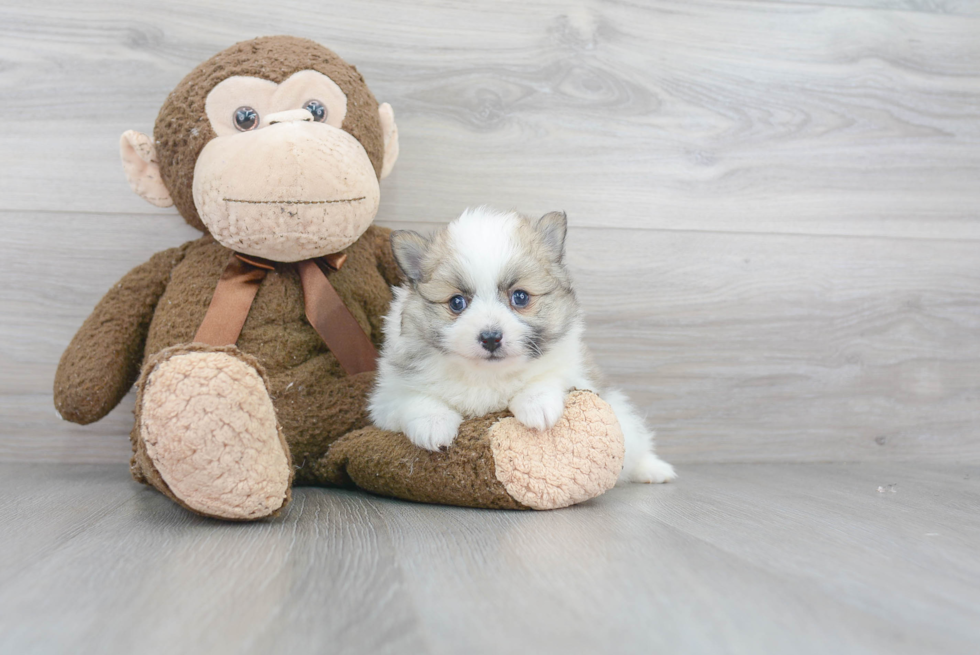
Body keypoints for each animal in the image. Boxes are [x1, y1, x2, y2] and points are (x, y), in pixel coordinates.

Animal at [368, 208, 672, 484]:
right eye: (456, 303)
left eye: (521, 297)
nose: (491, 337)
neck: (487, 376)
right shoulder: (386, 398)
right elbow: (413, 399)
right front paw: (434, 425)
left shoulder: (574, 369)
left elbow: (548, 376)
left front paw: (536, 405)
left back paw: (654, 470)